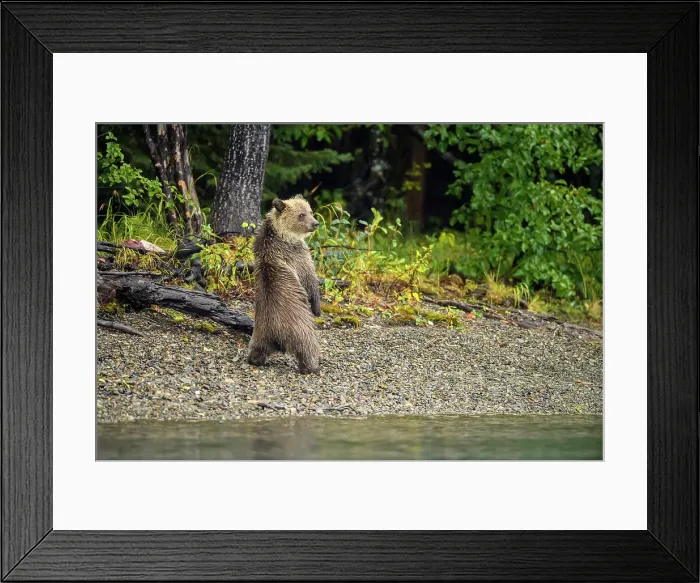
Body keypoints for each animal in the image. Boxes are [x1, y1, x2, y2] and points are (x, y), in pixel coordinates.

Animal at [247, 194, 322, 374]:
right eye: (301, 215)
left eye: (310, 211)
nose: (315, 223)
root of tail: (275, 334)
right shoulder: (298, 256)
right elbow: (309, 279)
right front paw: (317, 308)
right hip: (299, 327)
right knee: (308, 344)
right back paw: (313, 366)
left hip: (259, 329)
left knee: (257, 347)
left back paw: (255, 359)